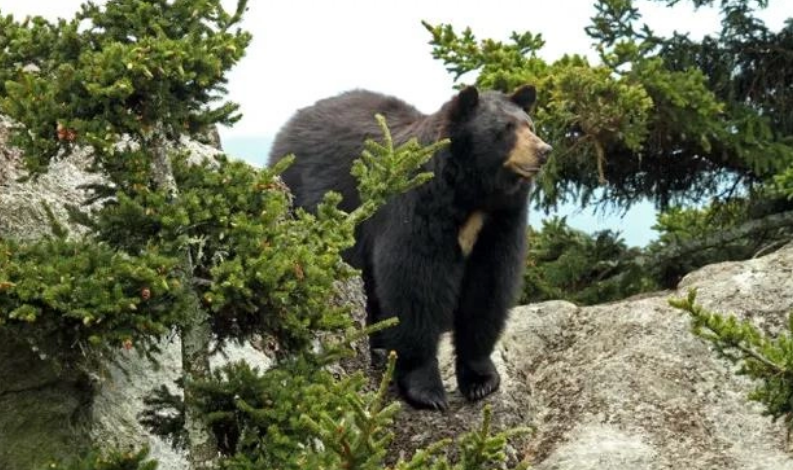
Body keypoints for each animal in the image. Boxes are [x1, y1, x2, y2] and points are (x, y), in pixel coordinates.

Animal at [270, 86, 548, 410]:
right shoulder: (418, 204)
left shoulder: (500, 221)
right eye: (505, 129)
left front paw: (481, 379)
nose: (544, 150)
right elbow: (415, 283)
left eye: (530, 125)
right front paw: (426, 390)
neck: (472, 194)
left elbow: (489, 286)